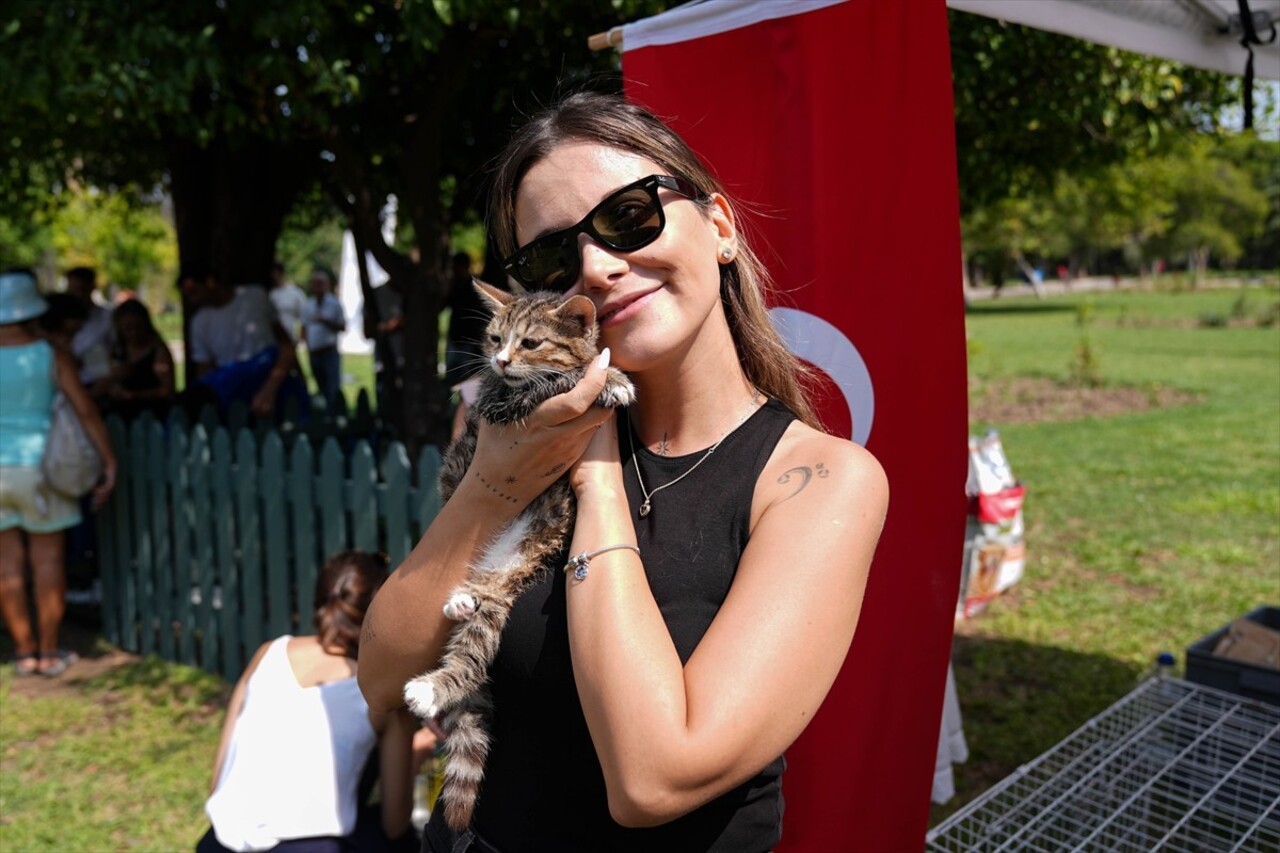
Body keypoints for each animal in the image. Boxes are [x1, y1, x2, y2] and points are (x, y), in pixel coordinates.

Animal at [404, 281, 634, 824]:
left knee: (481, 614)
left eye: (530, 343)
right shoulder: (495, 401)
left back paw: (459, 611)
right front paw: (600, 378)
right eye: (494, 338)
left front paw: (611, 376)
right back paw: (431, 680)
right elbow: (547, 385)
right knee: (471, 653)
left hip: (514, 570)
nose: (501, 359)